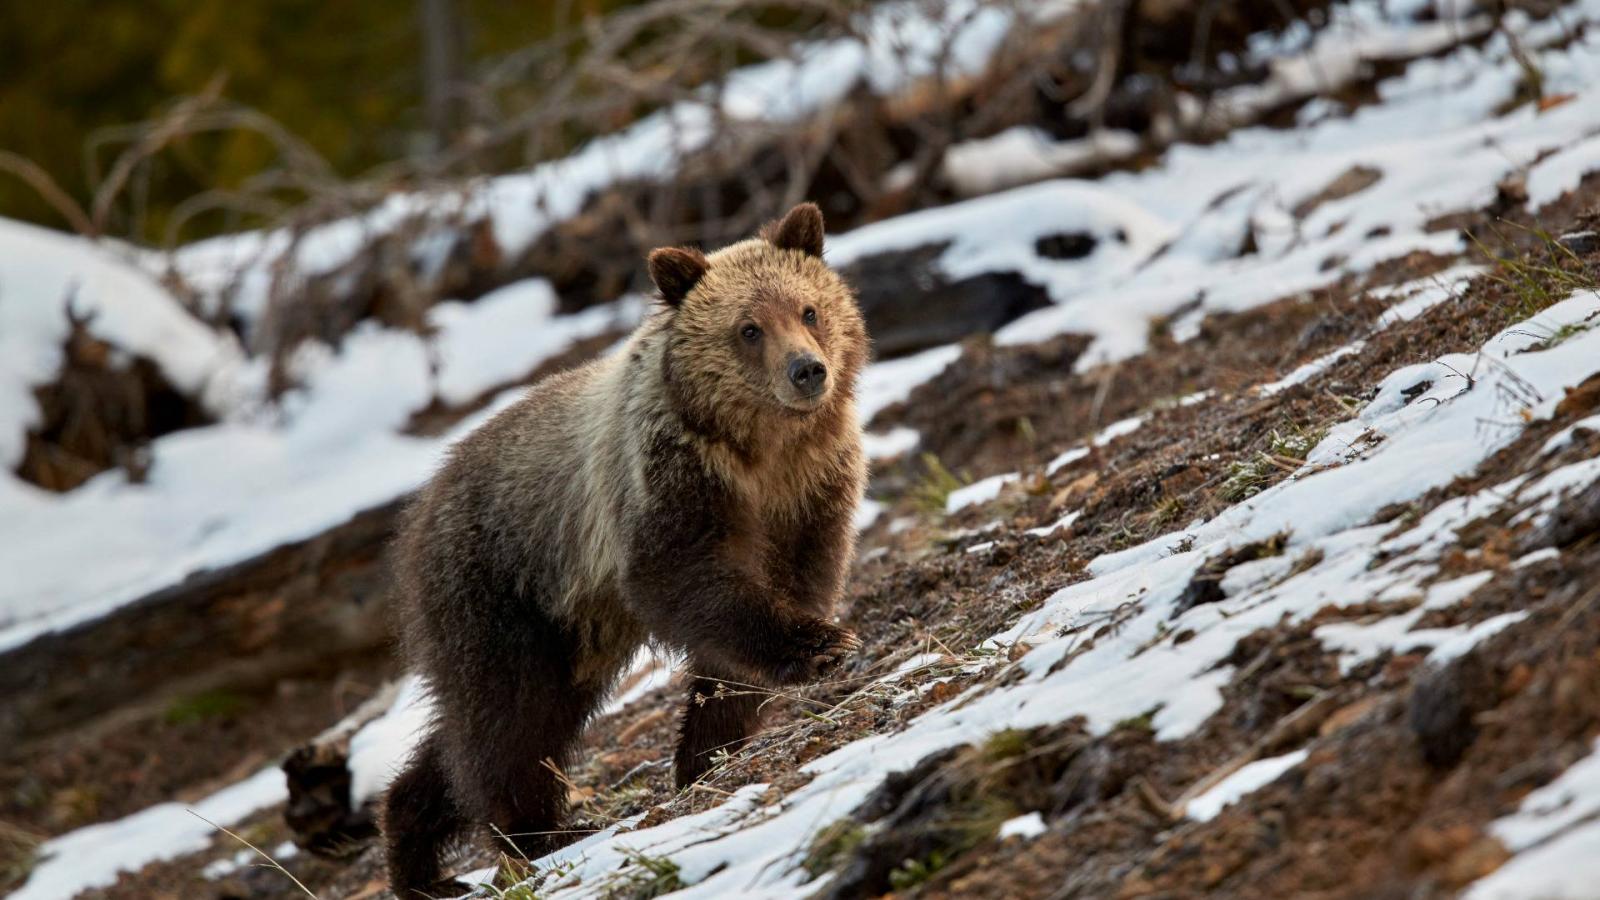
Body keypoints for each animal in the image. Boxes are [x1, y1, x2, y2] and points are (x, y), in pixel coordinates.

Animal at [382, 201, 870, 890]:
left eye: (808, 309)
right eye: (748, 328)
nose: (807, 371)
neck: (760, 453)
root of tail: (421, 506)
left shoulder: (812, 489)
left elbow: (787, 594)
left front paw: (707, 748)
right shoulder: (666, 484)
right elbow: (689, 582)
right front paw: (819, 644)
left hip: (566, 632)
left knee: (471, 735)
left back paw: (419, 860)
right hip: (498, 584)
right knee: (506, 720)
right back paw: (537, 832)